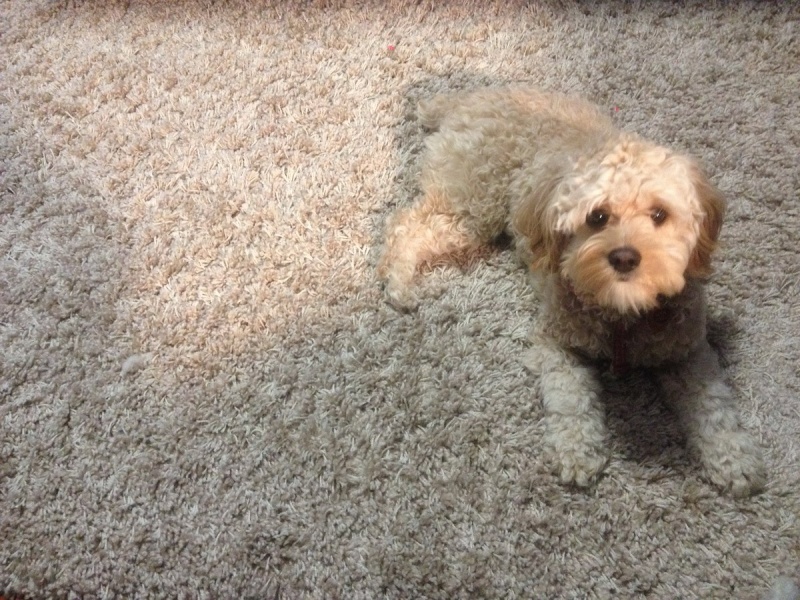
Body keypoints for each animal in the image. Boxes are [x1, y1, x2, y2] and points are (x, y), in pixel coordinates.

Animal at [377, 87, 766, 497]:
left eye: (660, 214)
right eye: (597, 216)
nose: (625, 257)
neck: (622, 315)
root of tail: (470, 99)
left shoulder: (688, 351)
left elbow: (713, 404)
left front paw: (734, 457)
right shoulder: (557, 341)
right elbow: (571, 398)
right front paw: (577, 451)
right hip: (472, 207)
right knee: (404, 225)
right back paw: (400, 283)